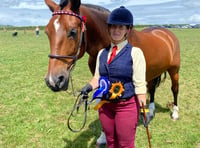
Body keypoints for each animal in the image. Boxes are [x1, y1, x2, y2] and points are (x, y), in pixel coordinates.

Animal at [44, 0, 180, 119]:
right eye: (47, 33)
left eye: (72, 32)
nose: (53, 81)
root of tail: (165, 32)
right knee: (151, 89)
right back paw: (150, 112)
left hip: (174, 70)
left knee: (174, 89)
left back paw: (174, 113)